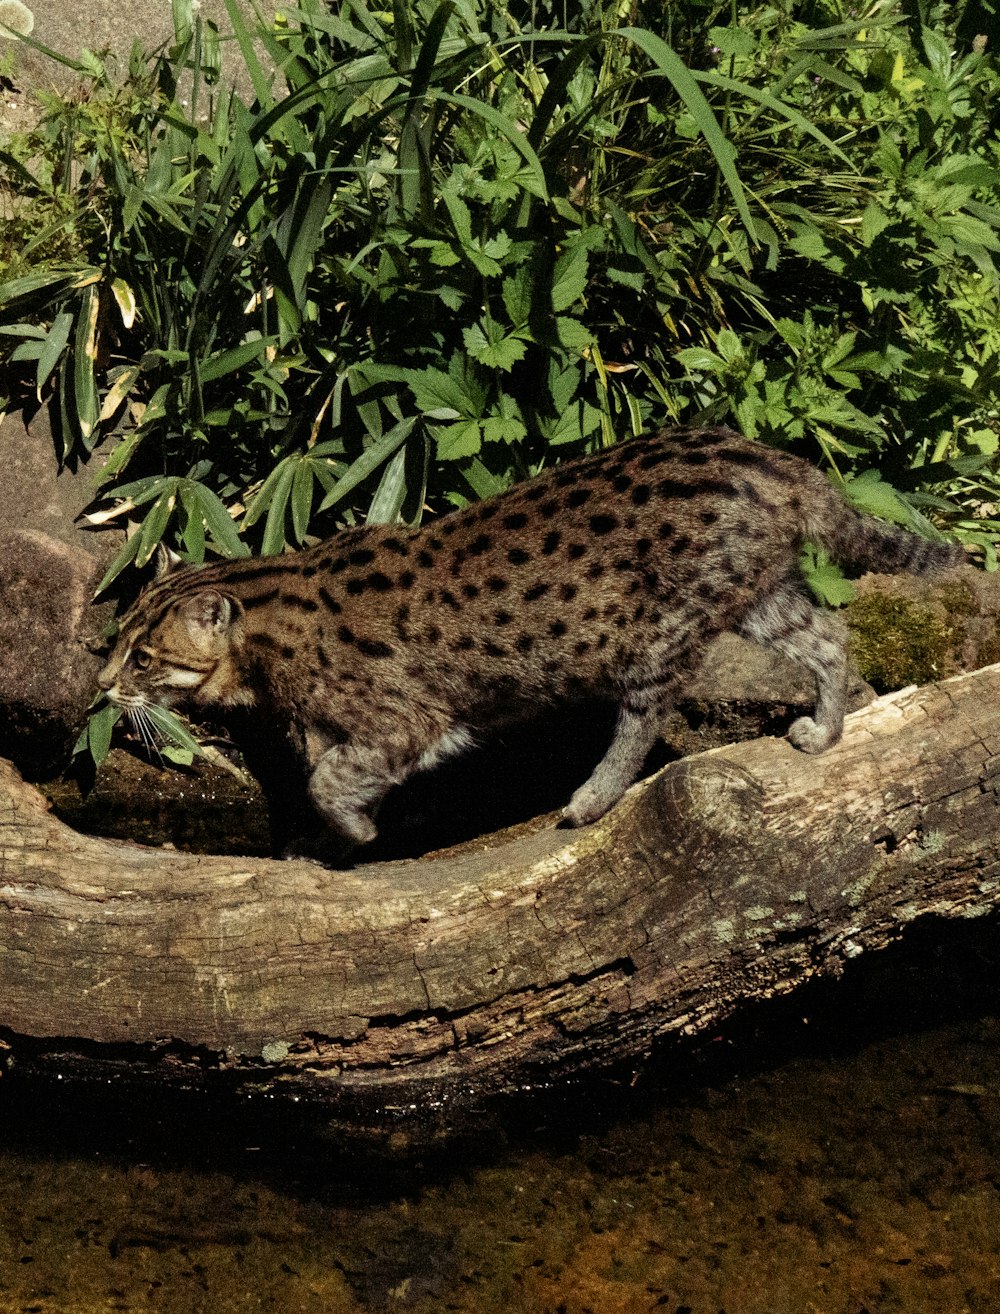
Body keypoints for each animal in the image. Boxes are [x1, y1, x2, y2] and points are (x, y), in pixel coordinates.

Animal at [99, 425, 961, 846]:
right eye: (116, 638)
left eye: (143, 655)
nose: (102, 685)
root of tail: (774, 458)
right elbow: (317, 763)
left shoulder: (409, 719)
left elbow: (328, 778)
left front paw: (359, 828)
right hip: (758, 594)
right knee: (828, 634)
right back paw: (827, 727)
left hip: (656, 629)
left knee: (644, 721)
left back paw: (591, 799)